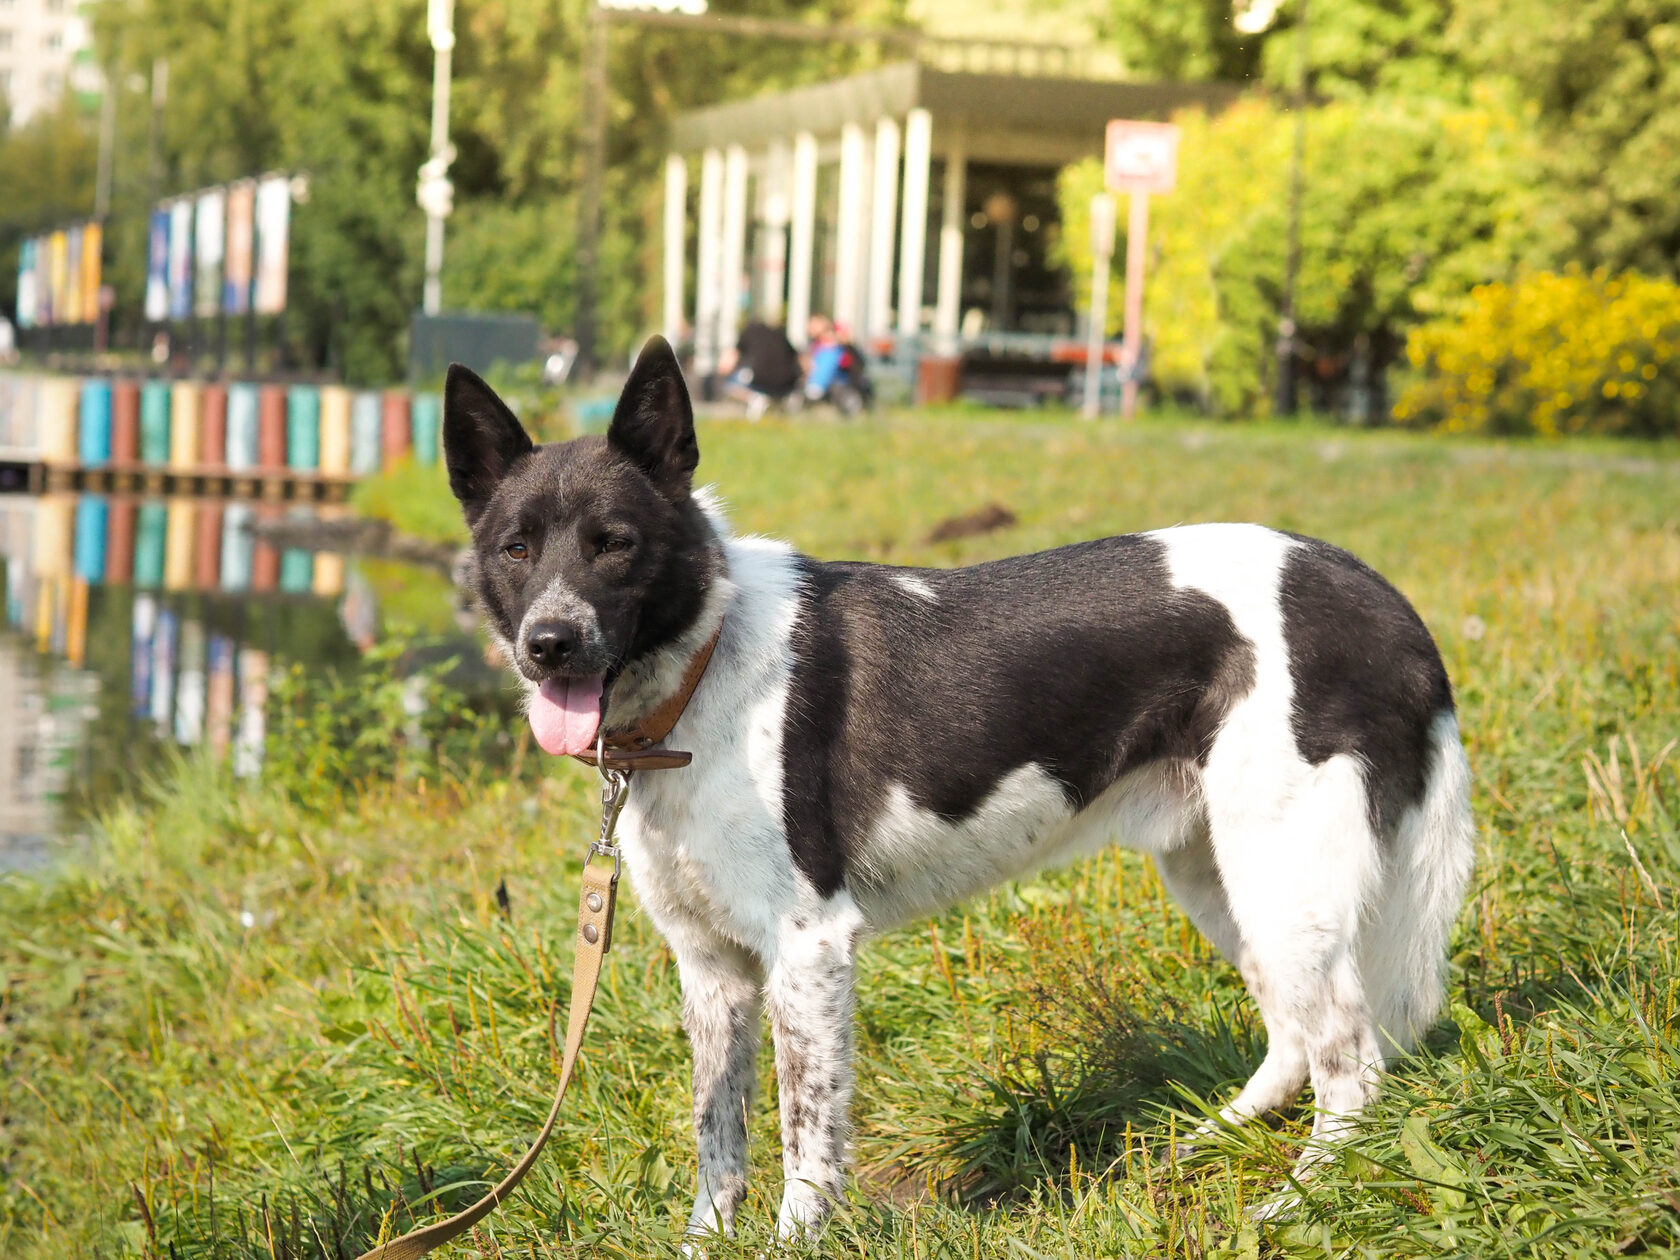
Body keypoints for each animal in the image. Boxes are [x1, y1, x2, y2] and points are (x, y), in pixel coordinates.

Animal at [443, 336, 1471, 1236]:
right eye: (516, 550)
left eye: (614, 544)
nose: (550, 644)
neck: (700, 669)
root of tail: (1380, 597)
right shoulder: (712, 970)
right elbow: (718, 1139)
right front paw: (707, 1242)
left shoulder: (808, 948)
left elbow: (804, 1137)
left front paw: (792, 1239)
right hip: (1223, 877)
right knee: (1296, 1037)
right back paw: (1206, 1145)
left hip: (1285, 881)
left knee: (1353, 1063)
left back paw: (1299, 1204)